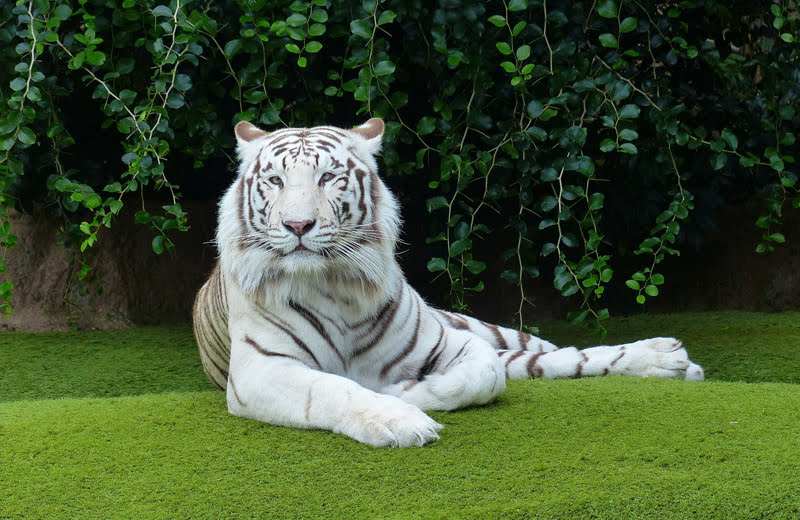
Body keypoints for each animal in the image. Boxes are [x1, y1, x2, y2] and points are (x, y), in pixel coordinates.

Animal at [191, 118, 704, 446]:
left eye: (330, 177)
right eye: (276, 181)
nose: (297, 225)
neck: (336, 284)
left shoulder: (451, 342)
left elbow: (484, 375)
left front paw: (403, 392)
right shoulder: (259, 369)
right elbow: (333, 389)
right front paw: (398, 419)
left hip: (488, 328)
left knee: (557, 355)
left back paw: (670, 359)